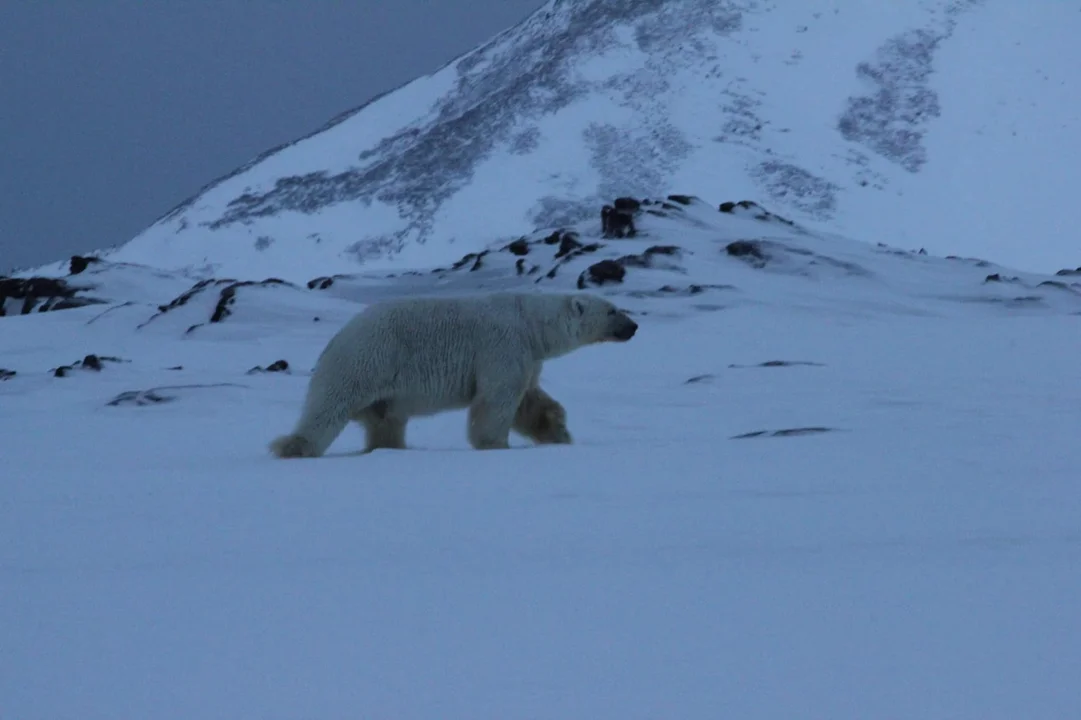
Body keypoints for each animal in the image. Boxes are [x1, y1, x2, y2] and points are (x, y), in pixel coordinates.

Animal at [269, 289, 635, 454]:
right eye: (612, 310)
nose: (633, 326)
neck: (530, 322)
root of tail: (334, 339)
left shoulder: (528, 356)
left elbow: (529, 401)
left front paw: (558, 432)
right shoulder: (502, 345)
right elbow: (497, 399)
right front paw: (494, 444)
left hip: (380, 387)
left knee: (385, 422)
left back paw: (389, 448)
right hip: (365, 362)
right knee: (327, 409)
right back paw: (292, 447)